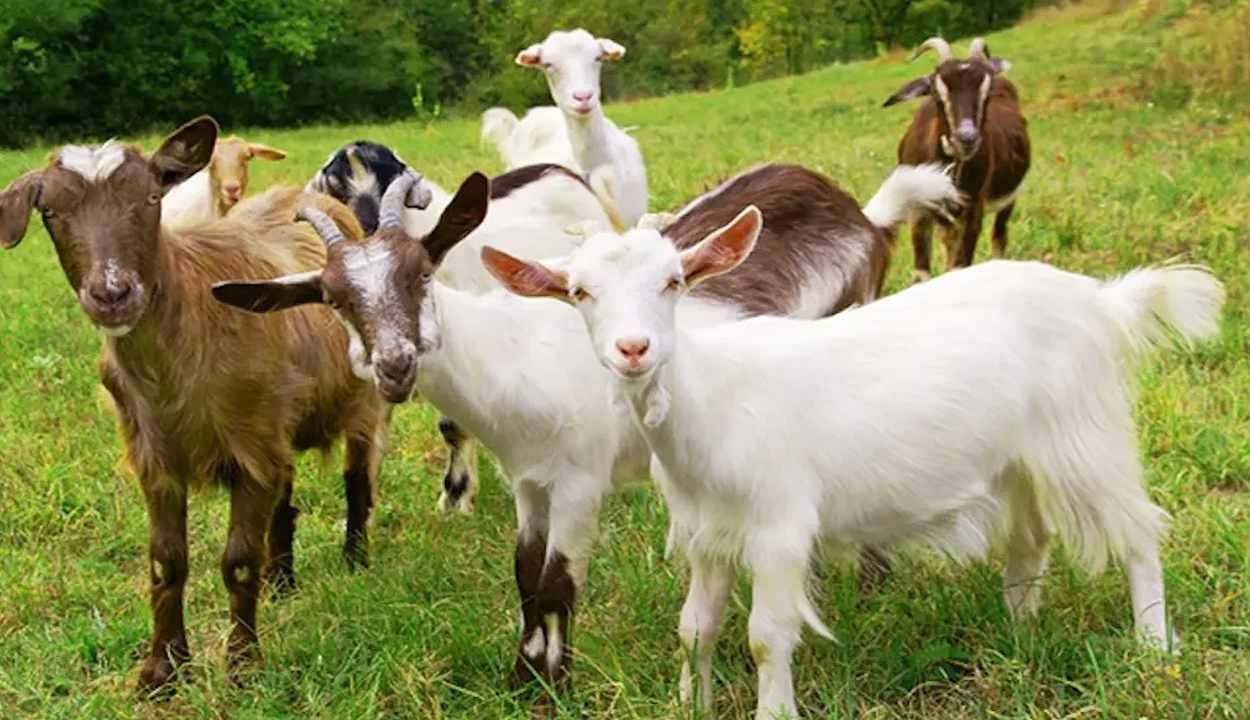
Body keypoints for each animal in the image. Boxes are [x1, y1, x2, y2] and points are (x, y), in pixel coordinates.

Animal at [0, 117, 387, 692]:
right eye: (49, 212)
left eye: (151, 197)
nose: (112, 294)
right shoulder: (155, 454)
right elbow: (167, 562)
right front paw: (162, 669)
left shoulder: (250, 446)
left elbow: (238, 561)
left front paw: (243, 666)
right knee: (285, 500)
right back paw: (282, 582)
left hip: (359, 400)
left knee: (357, 478)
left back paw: (356, 560)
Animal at [306, 141, 615, 512]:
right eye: (336, 190)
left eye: (389, 181)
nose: (368, 236)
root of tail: (562, 170)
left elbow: (452, 426)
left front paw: (455, 497)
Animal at [485, 207, 1223, 719]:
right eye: (579, 293)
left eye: (673, 282)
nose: (634, 349)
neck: (712, 401)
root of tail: (1101, 301)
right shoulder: (707, 533)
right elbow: (695, 629)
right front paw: (689, 703)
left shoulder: (779, 524)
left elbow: (766, 634)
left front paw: (775, 711)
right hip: (1020, 456)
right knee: (1032, 536)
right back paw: (1019, 631)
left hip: (1084, 434)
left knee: (1138, 531)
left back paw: (1154, 646)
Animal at [884, 36, 1030, 280]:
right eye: (936, 92)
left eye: (986, 94)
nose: (966, 138)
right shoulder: (919, 213)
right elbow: (922, 271)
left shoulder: (973, 210)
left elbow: (960, 265)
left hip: (1009, 198)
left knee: (999, 236)